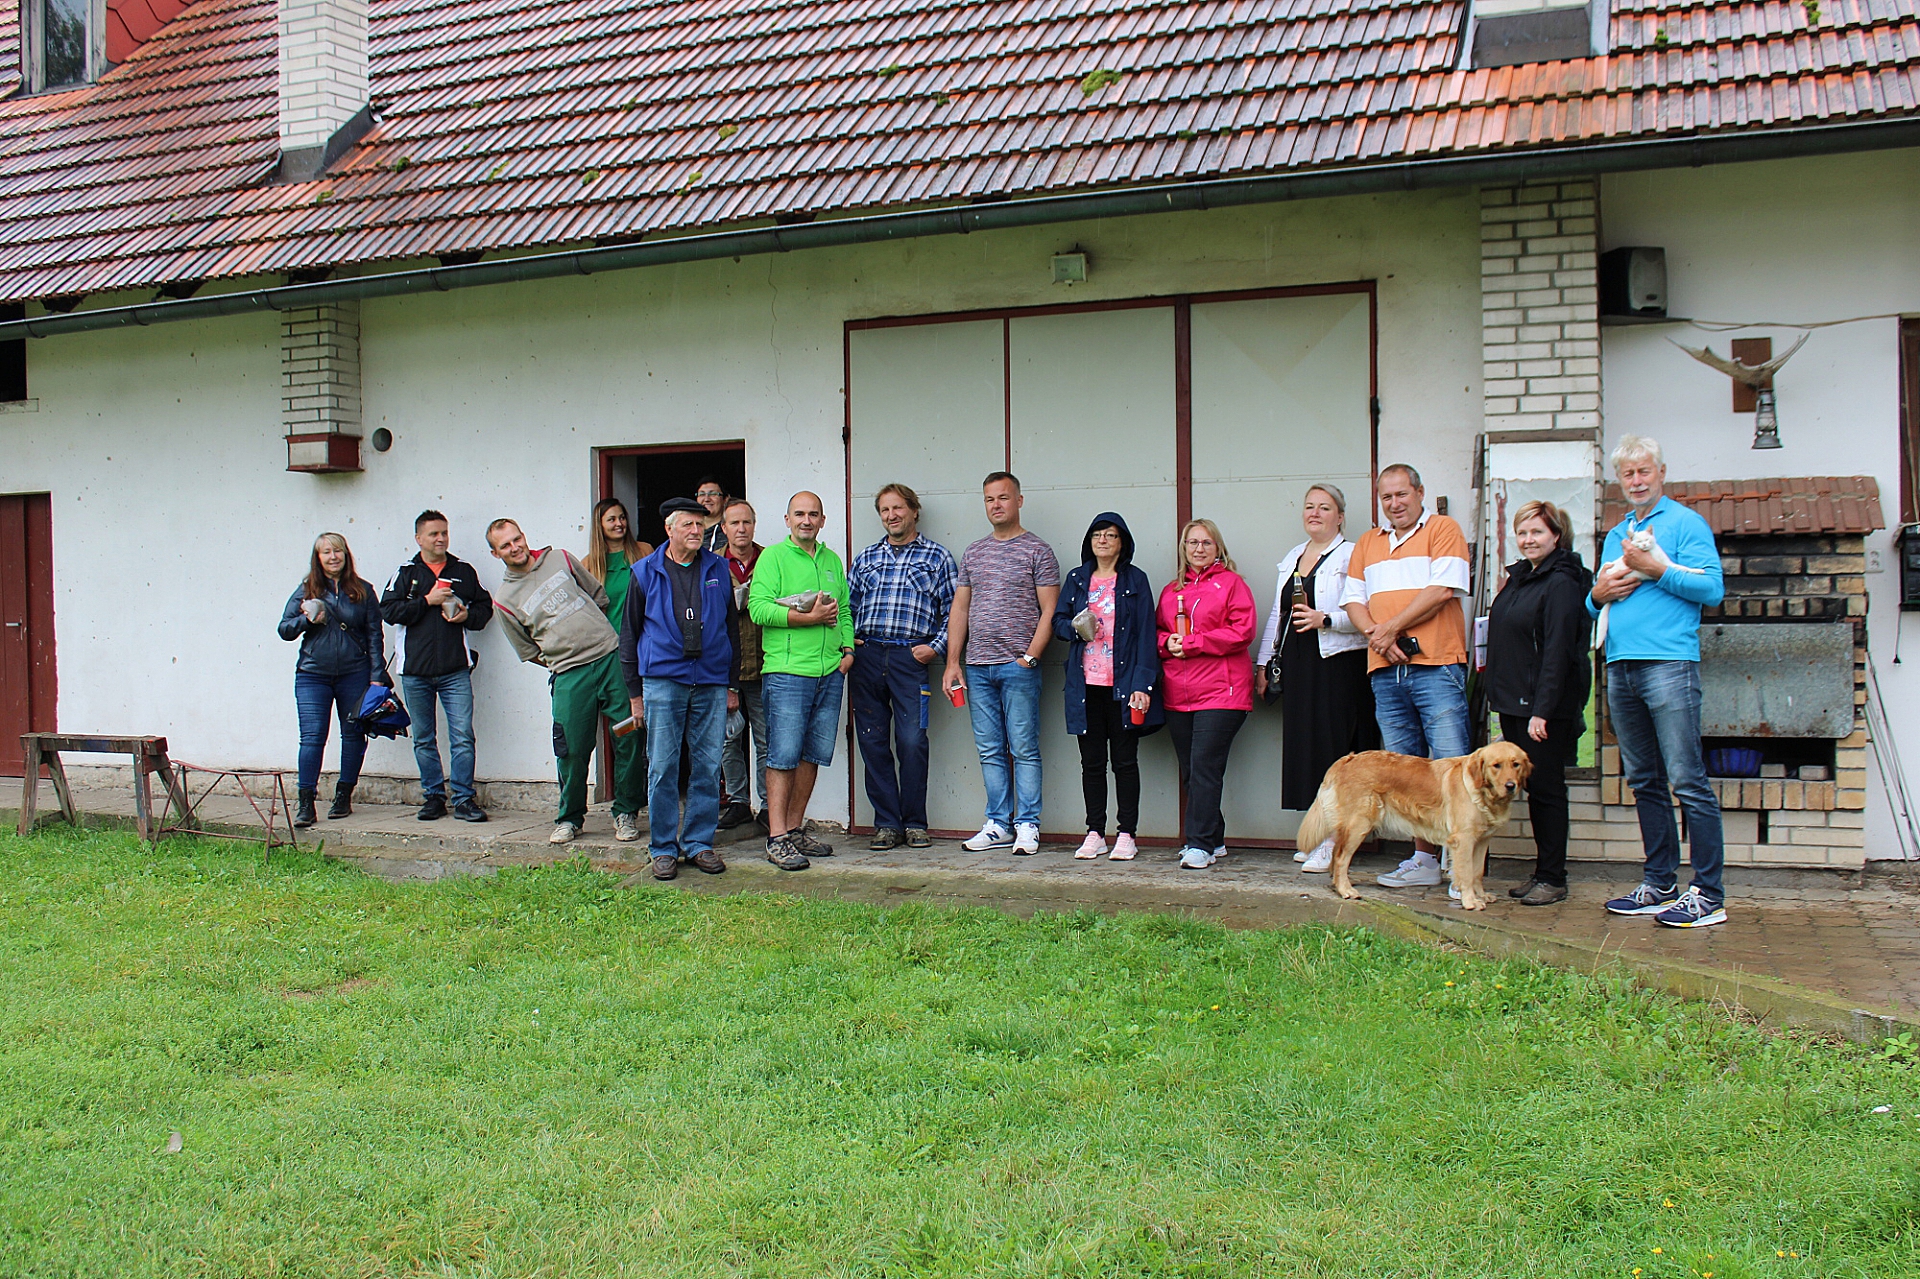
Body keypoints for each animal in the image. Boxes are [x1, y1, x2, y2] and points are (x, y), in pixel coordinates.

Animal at [1295, 742, 1534, 910]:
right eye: (1496, 766)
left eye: (1516, 764)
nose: (1511, 786)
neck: (1482, 792)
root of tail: (1349, 757)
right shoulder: (1464, 840)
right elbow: (1466, 872)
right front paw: (1470, 901)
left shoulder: (1482, 840)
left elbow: (1477, 872)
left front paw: (1480, 895)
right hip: (1359, 824)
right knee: (1341, 857)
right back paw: (1346, 890)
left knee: (1337, 855)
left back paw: (1338, 885)